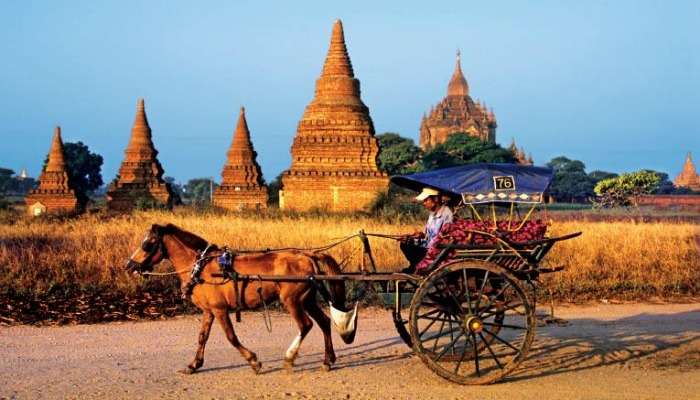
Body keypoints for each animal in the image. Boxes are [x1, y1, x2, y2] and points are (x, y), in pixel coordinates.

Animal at [124, 223, 356, 374]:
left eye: (148, 243)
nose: (129, 266)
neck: (200, 267)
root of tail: (307, 255)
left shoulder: (219, 310)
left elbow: (231, 337)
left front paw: (254, 361)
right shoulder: (208, 311)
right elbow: (202, 337)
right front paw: (193, 365)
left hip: (292, 301)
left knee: (305, 325)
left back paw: (290, 358)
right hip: (306, 300)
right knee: (324, 322)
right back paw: (328, 361)